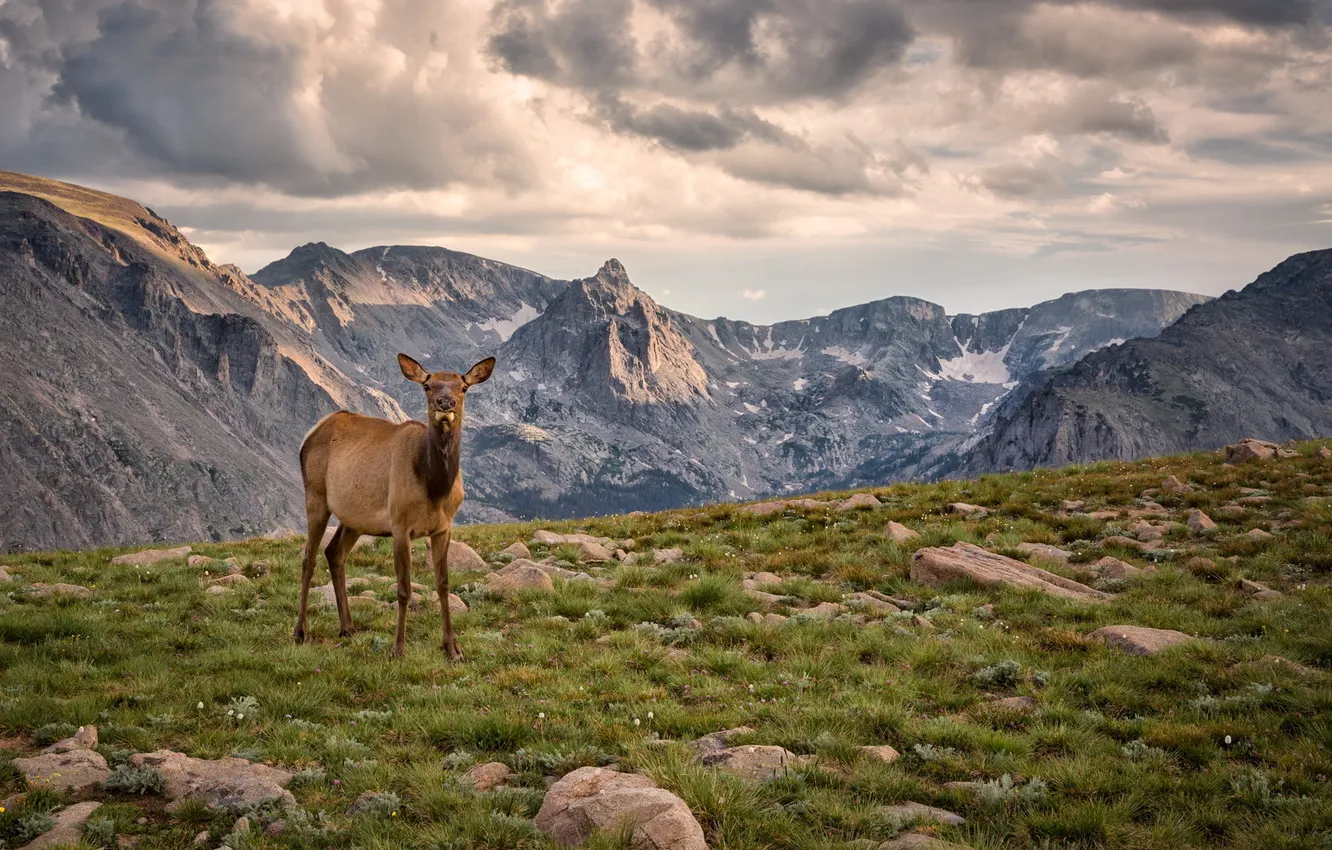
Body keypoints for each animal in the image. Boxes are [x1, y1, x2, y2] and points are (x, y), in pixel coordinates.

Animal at [294, 351, 498, 660]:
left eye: (463, 387)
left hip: (354, 517)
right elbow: (403, 589)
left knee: (334, 552)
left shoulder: (444, 527)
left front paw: (452, 647)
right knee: (309, 557)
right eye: (427, 386)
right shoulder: (400, 525)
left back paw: (348, 627)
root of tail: (310, 434)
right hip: (315, 495)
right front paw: (398, 649)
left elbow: (443, 584)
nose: (445, 403)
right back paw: (300, 632)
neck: (434, 488)